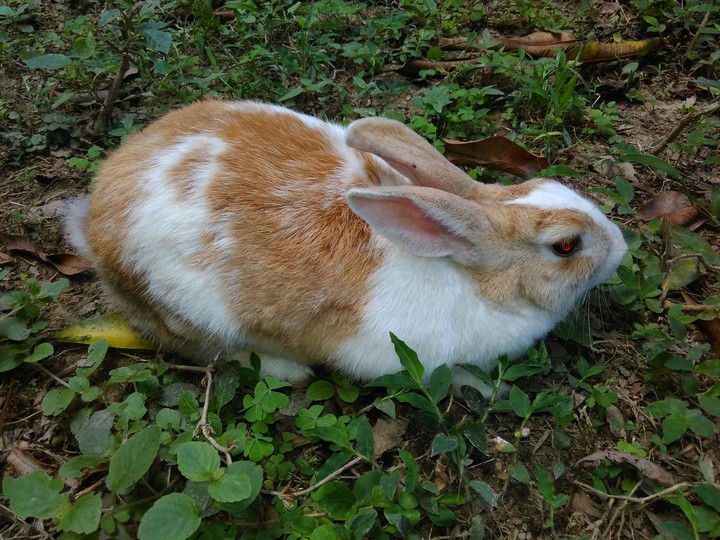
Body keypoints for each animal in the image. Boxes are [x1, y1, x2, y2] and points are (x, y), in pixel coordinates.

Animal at [65, 99, 627, 397]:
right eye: (566, 246)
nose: (621, 247)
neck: (468, 277)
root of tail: (93, 223)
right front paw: (491, 389)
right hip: (190, 315)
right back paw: (287, 370)